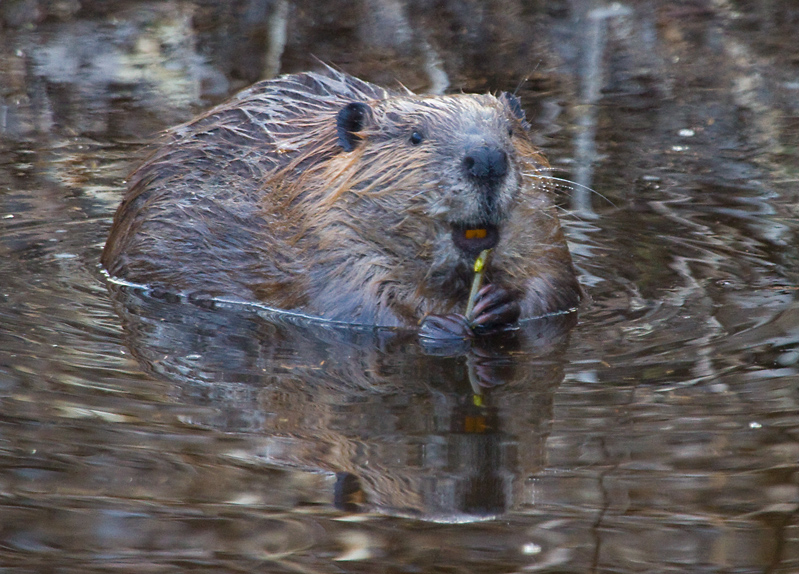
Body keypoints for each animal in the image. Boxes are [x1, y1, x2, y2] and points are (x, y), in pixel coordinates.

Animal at [104, 68, 580, 336]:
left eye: (512, 132)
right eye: (415, 136)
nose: (486, 159)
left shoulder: (546, 229)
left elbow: (558, 288)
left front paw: (500, 303)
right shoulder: (319, 237)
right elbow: (351, 303)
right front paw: (437, 323)